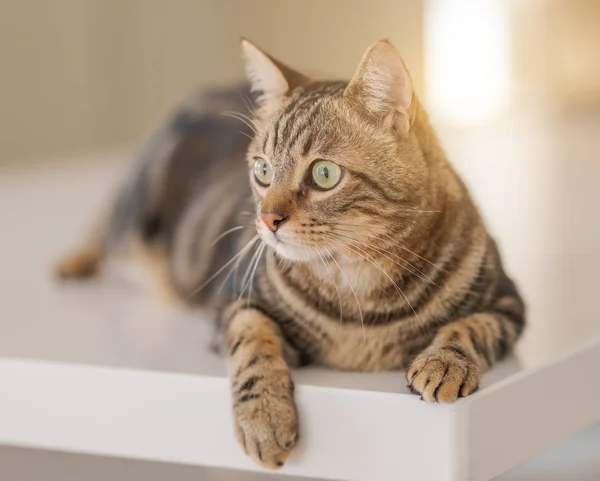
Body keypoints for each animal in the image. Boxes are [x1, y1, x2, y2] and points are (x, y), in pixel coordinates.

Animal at [56, 40, 524, 468]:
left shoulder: (509, 301)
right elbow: (251, 340)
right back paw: (73, 262)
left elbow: (472, 327)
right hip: (133, 215)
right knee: (103, 220)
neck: (357, 282)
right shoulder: (234, 301)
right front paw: (264, 416)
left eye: (324, 174)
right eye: (262, 170)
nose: (267, 220)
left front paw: (445, 363)